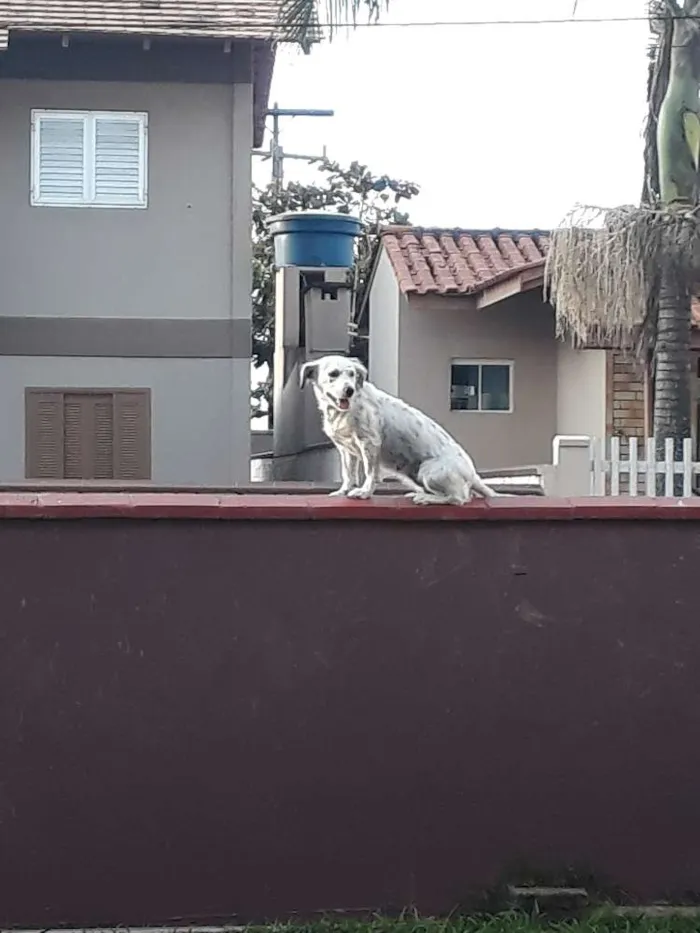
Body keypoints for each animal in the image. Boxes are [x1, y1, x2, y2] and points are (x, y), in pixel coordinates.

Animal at [300, 354, 498, 502]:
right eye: (333, 374)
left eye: (352, 374)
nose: (349, 390)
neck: (343, 411)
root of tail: (473, 475)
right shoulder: (346, 449)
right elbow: (348, 473)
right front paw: (343, 491)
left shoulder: (369, 443)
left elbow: (370, 472)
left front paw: (364, 492)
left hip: (428, 471)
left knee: (459, 498)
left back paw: (427, 499)